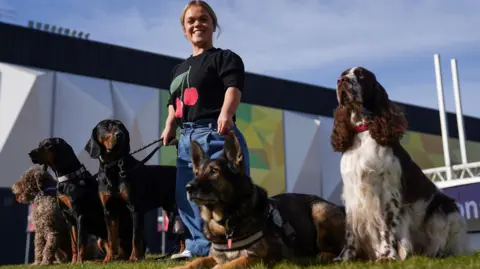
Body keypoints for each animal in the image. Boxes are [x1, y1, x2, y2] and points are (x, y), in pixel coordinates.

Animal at [171, 131, 346, 268]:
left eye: (214, 171)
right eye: (197, 173)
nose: (188, 187)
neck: (229, 220)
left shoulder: (259, 257)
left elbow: (229, 264)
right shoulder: (215, 256)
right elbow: (198, 260)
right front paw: (180, 267)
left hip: (320, 211)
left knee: (340, 250)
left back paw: (324, 255)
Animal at [330, 66, 468, 260]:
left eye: (361, 74)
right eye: (343, 74)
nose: (341, 80)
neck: (363, 131)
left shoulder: (388, 191)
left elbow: (388, 226)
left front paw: (387, 255)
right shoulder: (352, 193)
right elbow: (350, 229)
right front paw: (345, 258)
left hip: (445, 209)